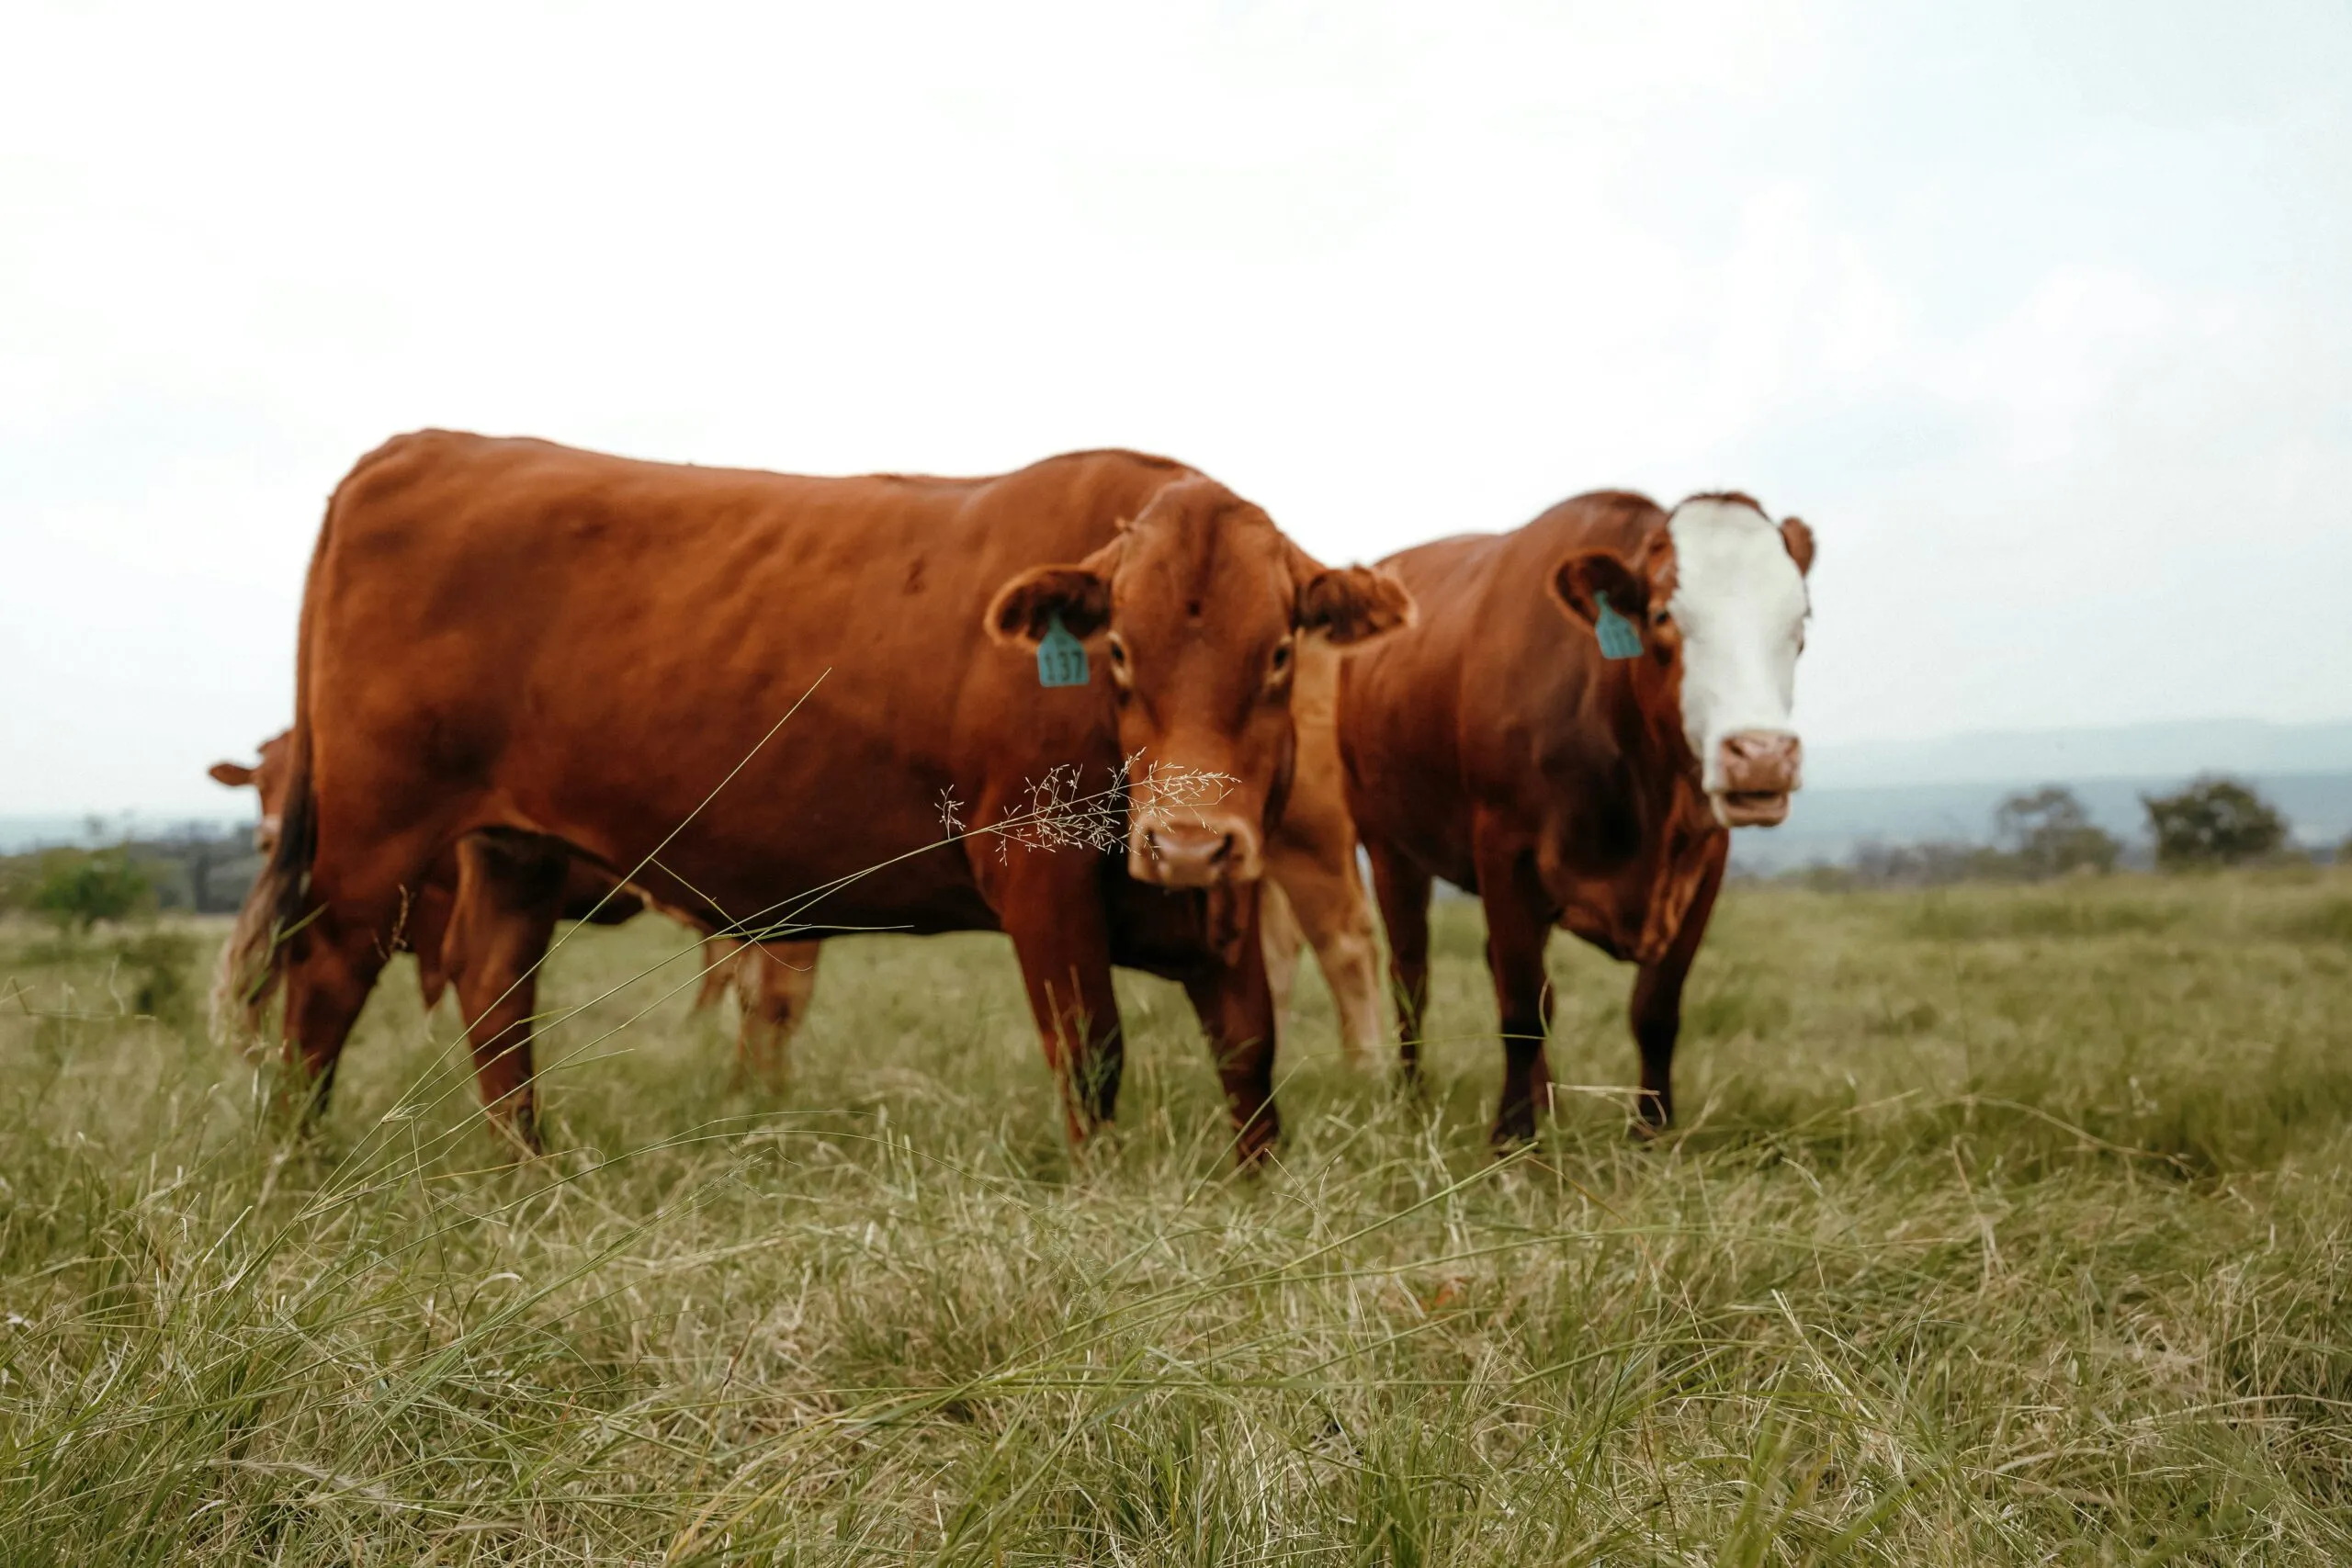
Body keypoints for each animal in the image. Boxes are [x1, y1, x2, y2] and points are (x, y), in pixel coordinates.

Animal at [215, 433, 1413, 1160]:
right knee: (324, 984)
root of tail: (420, 447)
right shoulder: (1039, 875)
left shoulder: (1226, 904)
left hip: (513, 849)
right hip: (375, 845)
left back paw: (530, 1169)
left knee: (494, 992)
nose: (1188, 841)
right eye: (1118, 652)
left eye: (1277, 654)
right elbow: (1092, 1057)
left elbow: (1251, 1057)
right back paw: (297, 1163)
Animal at [1336, 490, 1813, 1143]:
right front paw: (1513, 1138)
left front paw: (1651, 1132)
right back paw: (1413, 1100)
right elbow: (1519, 1008)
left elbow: (1654, 1010)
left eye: (1801, 622)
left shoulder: (1704, 860)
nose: (1762, 755)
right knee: (1412, 977)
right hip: (1389, 848)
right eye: (1661, 616)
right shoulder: (1503, 851)